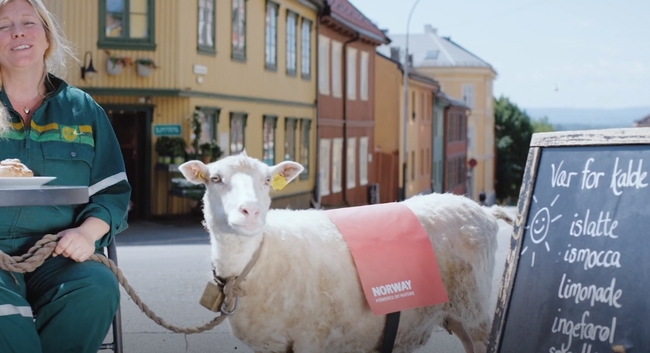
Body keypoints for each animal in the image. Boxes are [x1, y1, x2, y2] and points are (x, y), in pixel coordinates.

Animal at [180, 152, 508, 352]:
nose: (251, 211)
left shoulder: (311, 337)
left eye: (267, 181)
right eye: (215, 179)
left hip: (474, 310)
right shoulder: (271, 344)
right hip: (456, 313)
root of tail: (484, 211)